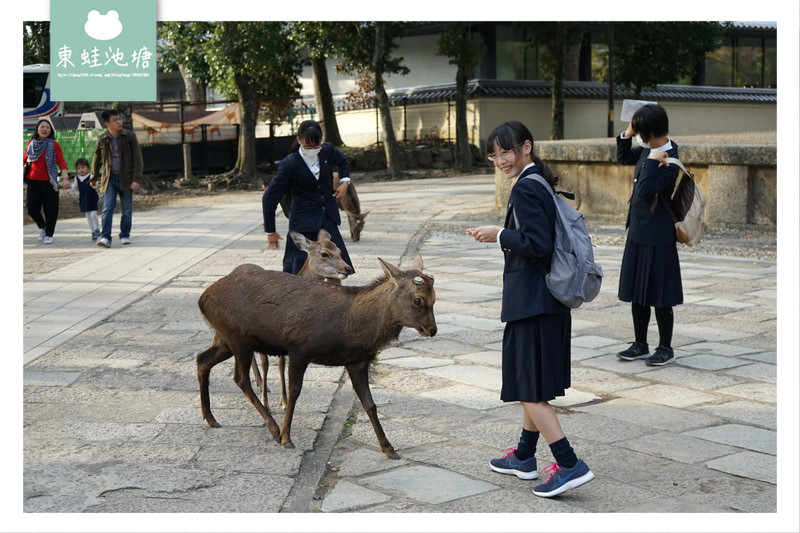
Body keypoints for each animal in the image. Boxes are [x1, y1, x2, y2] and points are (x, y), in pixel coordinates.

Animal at [198, 255, 438, 458]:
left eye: (435, 298)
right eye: (418, 299)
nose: (432, 330)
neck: (352, 325)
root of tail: (203, 298)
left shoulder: (358, 361)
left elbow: (369, 404)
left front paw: (389, 448)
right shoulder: (299, 349)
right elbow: (294, 393)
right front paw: (286, 438)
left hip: (225, 338)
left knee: (202, 360)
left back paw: (210, 418)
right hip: (238, 338)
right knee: (240, 378)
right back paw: (273, 428)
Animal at [250, 230, 350, 412]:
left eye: (339, 250)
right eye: (324, 253)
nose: (347, 268)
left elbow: (282, 364)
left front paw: (284, 401)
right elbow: (267, 363)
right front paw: (266, 404)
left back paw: (260, 385)